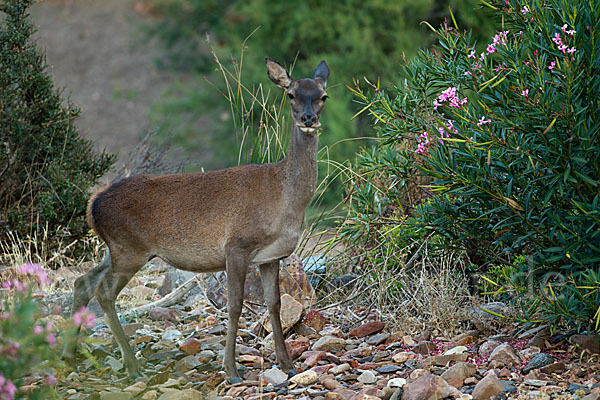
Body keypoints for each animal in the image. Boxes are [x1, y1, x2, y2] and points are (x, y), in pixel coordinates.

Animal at [64, 57, 332, 382]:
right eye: (291, 94)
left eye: (322, 96)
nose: (308, 118)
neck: (284, 198)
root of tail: (93, 204)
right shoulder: (237, 245)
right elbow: (234, 306)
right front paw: (231, 370)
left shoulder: (271, 256)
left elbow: (275, 304)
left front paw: (287, 364)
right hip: (129, 249)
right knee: (103, 291)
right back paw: (131, 364)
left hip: (115, 249)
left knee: (83, 281)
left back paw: (70, 356)